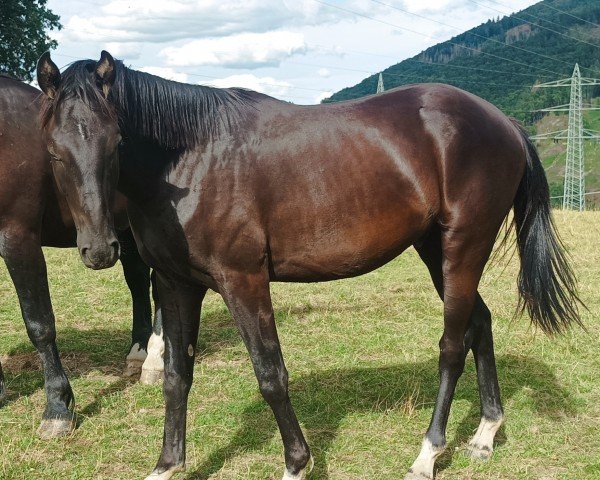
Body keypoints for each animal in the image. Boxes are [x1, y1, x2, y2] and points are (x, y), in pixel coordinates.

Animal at [0, 74, 164, 438]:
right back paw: (138, 351)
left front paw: (57, 408)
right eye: (53, 154)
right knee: (137, 282)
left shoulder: (18, 238)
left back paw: (156, 361)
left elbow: (40, 323)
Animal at [35, 52, 580, 480]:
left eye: (115, 143)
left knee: (452, 345)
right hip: (436, 251)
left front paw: (297, 463)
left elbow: (271, 374)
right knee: (480, 324)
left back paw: (427, 454)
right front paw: (167, 464)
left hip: (464, 247)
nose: (100, 250)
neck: (193, 158)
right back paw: (486, 433)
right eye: (54, 152)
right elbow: (175, 375)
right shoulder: (175, 285)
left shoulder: (243, 281)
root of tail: (504, 123)